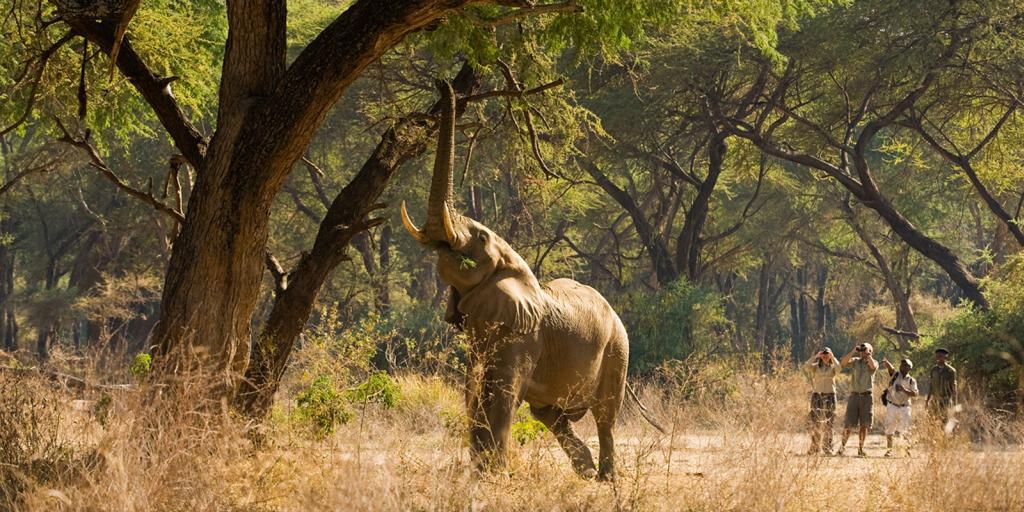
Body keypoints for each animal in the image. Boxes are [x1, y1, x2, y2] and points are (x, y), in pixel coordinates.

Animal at [399, 79, 663, 479]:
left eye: (480, 237)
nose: (445, 84)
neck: (514, 266)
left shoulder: (526, 334)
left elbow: (502, 393)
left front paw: (493, 476)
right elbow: (474, 390)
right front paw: (482, 473)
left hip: (619, 348)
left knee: (605, 415)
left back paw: (605, 479)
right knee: (550, 414)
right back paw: (585, 471)